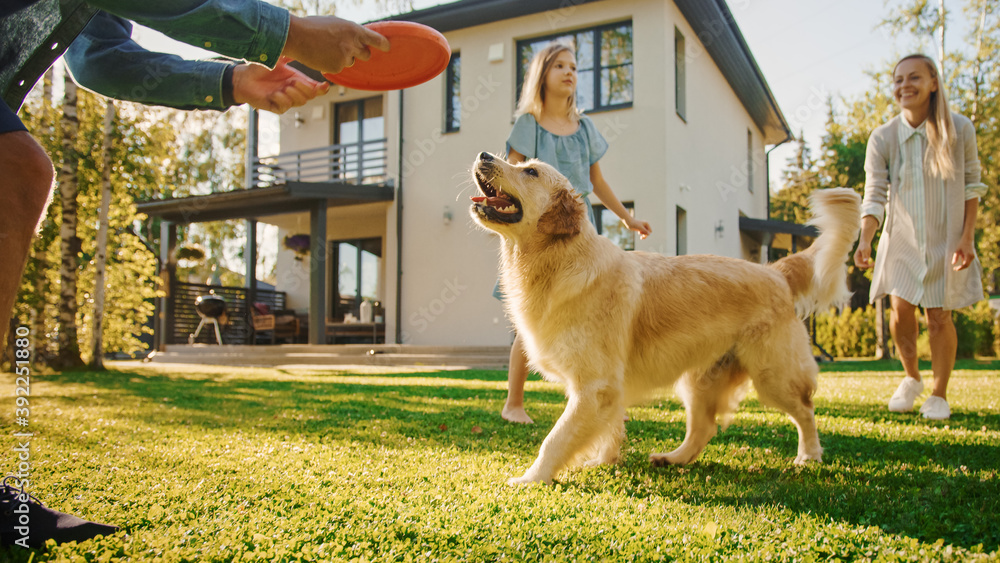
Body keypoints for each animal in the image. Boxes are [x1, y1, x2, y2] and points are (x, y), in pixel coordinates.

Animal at [468, 152, 860, 486]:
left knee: (805, 410)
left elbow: (555, 438)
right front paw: (605, 460)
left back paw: (809, 455)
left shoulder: (595, 385)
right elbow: (609, 428)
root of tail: (775, 271)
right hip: (700, 379)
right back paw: (673, 458)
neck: (559, 259)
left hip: (772, 374)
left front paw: (531, 478)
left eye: (531, 172)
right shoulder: (606, 388)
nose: (484, 155)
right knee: (703, 428)